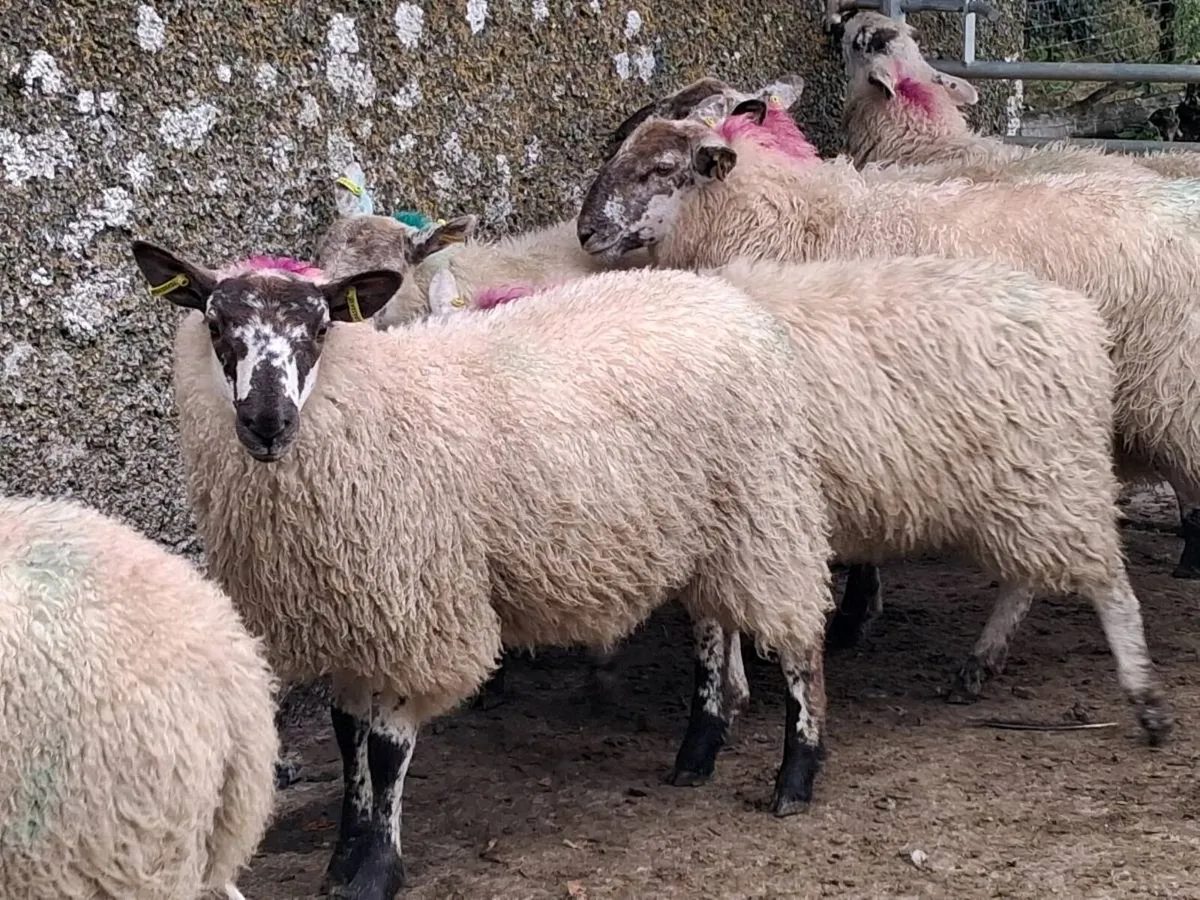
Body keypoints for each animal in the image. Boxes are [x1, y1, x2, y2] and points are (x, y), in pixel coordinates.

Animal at [129, 239, 840, 896]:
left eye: (322, 328)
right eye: (216, 325)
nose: (267, 422)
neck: (368, 409)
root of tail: (722, 295)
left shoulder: (413, 608)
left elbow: (385, 750)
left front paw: (376, 871)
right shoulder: (351, 612)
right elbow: (346, 736)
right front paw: (342, 859)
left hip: (765, 502)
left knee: (800, 638)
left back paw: (794, 777)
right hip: (707, 526)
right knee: (713, 627)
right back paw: (698, 750)